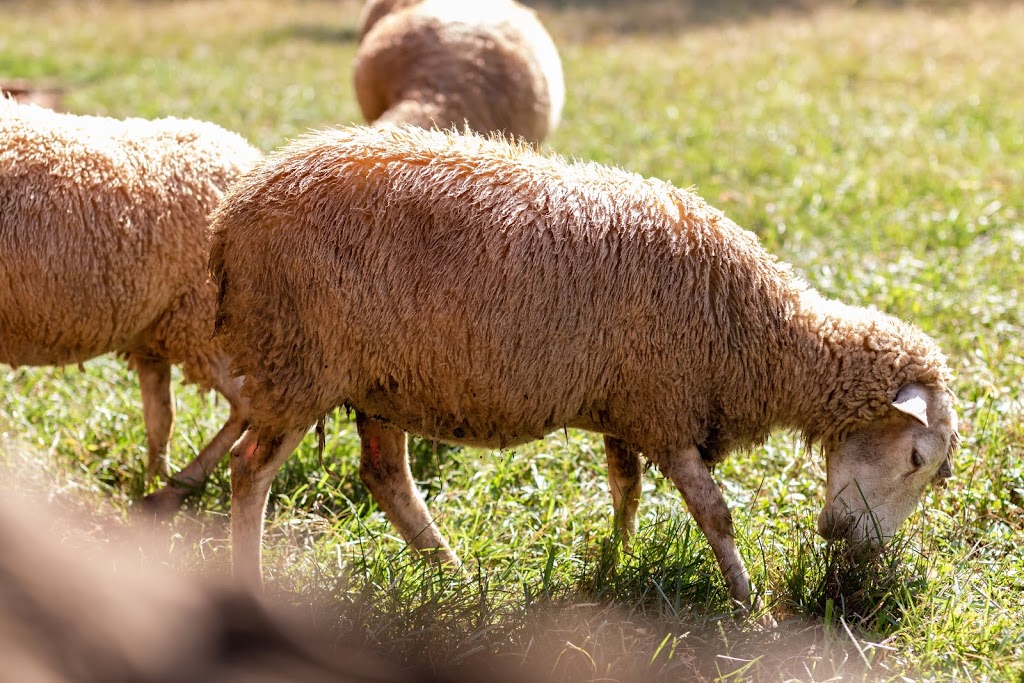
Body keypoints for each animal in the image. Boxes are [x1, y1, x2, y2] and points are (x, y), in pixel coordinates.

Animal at [0, 96, 262, 511]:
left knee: (246, 409)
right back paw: (154, 482)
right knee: (163, 415)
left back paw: (171, 492)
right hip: (157, 332)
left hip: (206, 323)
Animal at [207, 125, 958, 606]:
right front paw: (750, 604)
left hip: (377, 379)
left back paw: (451, 575)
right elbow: (715, 514)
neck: (761, 335)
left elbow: (626, 489)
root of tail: (232, 215)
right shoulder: (665, 405)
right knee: (250, 472)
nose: (859, 551)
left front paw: (614, 560)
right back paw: (254, 583)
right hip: (301, 361)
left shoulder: (629, 405)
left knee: (386, 478)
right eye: (918, 458)